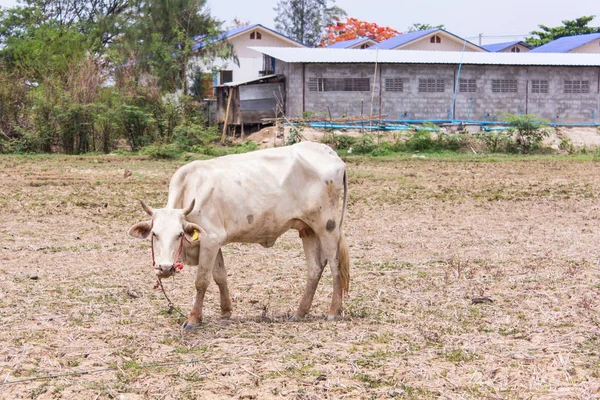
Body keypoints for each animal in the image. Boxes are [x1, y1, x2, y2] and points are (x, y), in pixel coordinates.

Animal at [129, 141, 350, 328]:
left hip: (327, 226)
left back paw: (333, 311)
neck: (189, 189)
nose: (165, 268)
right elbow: (220, 276)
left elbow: (202, 281)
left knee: (334, 264)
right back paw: (300, 312)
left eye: (179, 234)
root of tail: (328, 151)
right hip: (308, 229)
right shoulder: (215, 243)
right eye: (154, 234)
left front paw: (193, 319)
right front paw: (225, 311)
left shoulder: (210, 239)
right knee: (315, 268)